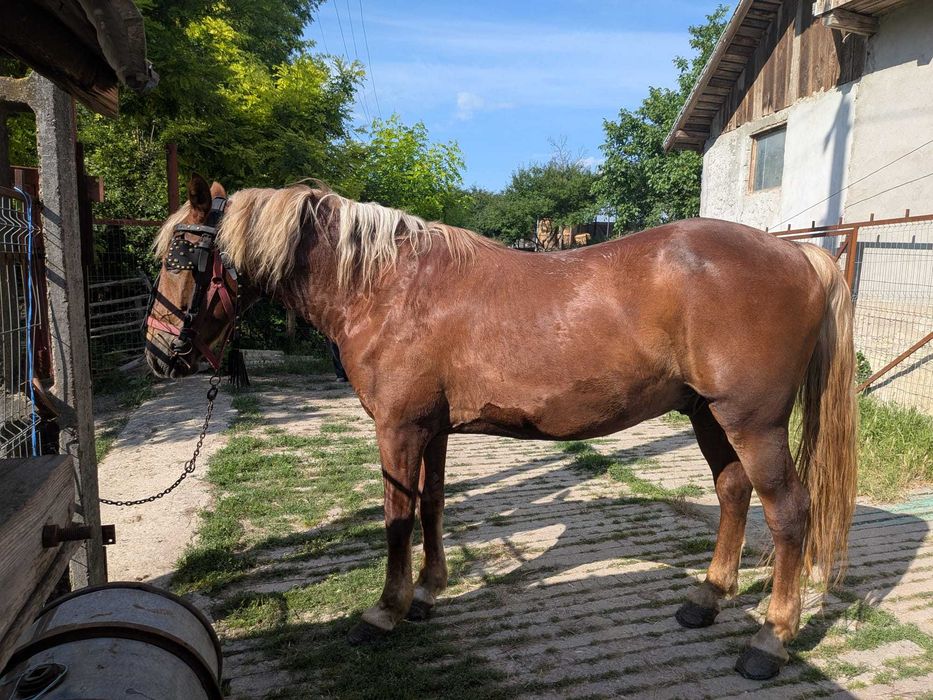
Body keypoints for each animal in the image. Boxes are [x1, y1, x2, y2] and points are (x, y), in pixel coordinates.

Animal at [145, 175, 857, 681]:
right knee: (733, 491)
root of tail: (801, 257)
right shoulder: (430, 431)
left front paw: (385, 610)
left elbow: (396, 519)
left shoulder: (398, 431)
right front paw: (428, 593)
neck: (387, 286)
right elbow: (431, 506)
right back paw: (707, 600)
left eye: (182, 253)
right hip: (708, 414)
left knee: (789, 513)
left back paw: (770, 638)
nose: (157, 353)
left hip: (753, 422)